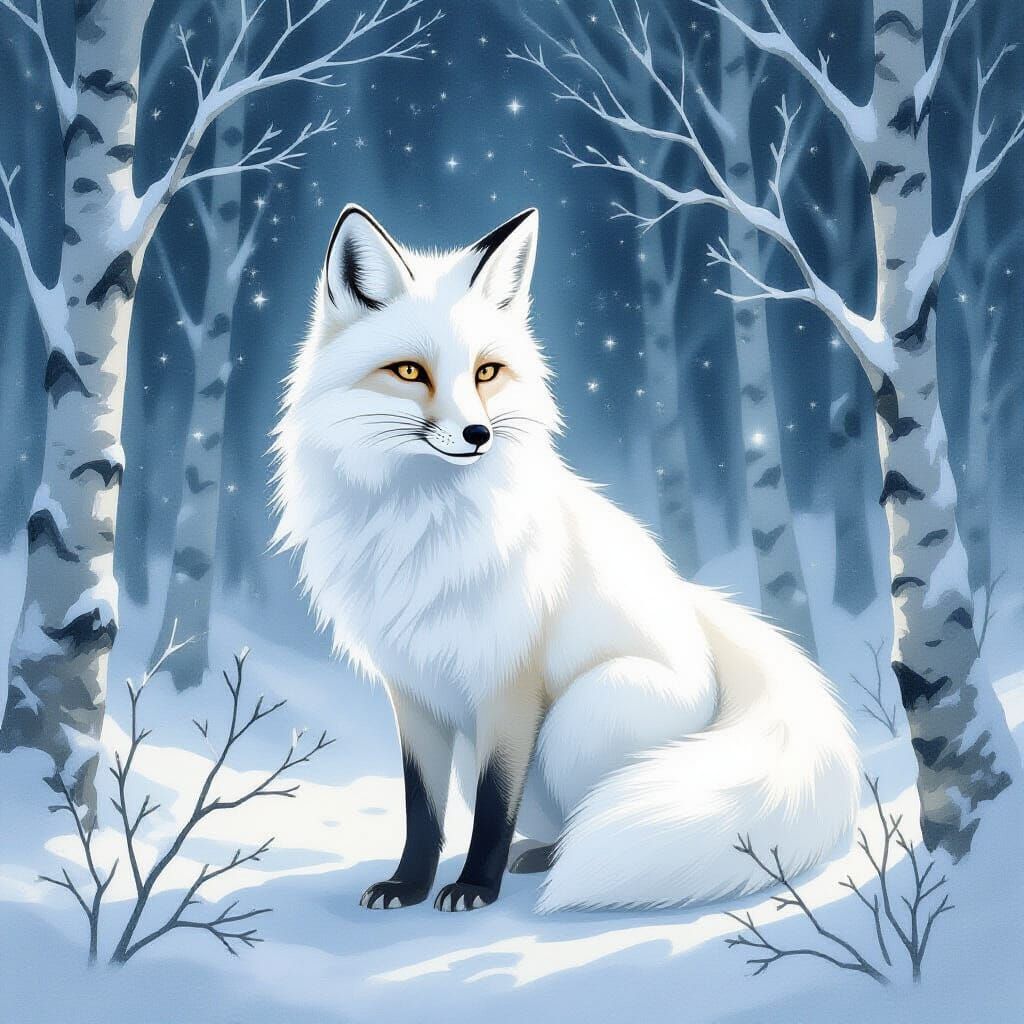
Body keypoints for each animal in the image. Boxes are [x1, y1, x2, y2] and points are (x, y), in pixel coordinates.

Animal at [271, 204, 861, 913]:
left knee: (599, 815)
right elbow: (422, 809)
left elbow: (495, 804)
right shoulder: (411, 689)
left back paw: (556, 861)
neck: (420, 531)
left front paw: (475, 886)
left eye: (487, 372)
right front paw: (409, 885)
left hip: (582, 716)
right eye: (410, 372)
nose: (478, 434)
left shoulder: (509, 681)